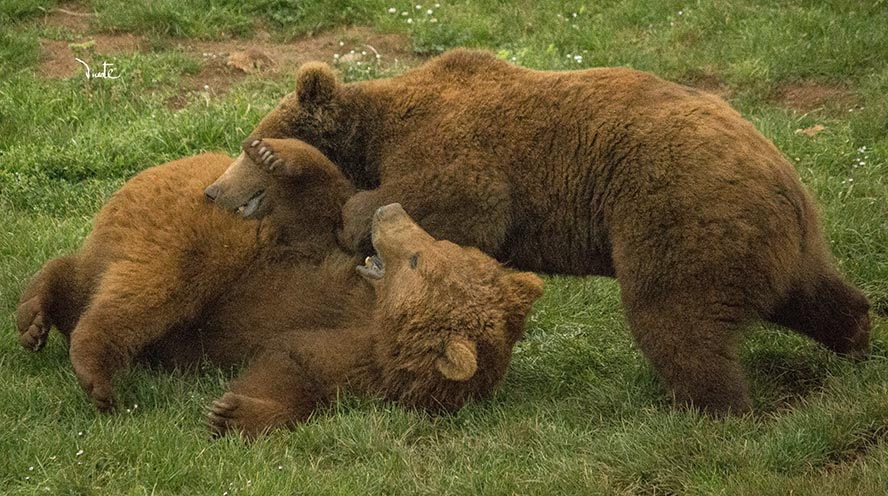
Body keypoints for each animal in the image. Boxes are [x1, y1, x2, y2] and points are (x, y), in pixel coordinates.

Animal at [16, 138, 543, 435]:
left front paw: (232, 412)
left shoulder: (367, 369)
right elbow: (320, 214)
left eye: (419, 258)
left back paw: (40, 319)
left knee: (107, 282)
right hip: (198, 224)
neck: (379, 319)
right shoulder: (317, 262)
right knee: (152, 287)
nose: (391, 211)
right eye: (440, 244)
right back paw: (90, 367)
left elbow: (294, 370)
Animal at [204, 49, 871, 414]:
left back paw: (707, 407)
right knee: (815, 295)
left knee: (676, 319)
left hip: (678, 213)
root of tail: (780, 173)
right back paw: (858, 337)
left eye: (250, 146)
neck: (377, 131)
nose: (214, 191)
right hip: (779, 241)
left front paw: (355, 217)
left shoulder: (461, 152)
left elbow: (454, 197)